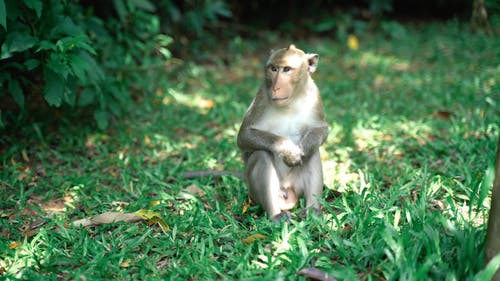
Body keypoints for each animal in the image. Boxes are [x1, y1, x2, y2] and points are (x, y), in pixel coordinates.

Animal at [237, 44, 330, 222]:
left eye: (287, 69)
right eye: (273, 68)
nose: (275, 87)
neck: (292, 101)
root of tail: (287, 190)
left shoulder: (315, 95)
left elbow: (322, 129)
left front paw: (303, 148)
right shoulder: (261, 97)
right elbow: (244, 136)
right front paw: (288, 150)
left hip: (296, 185)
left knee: (313, 153)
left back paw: (312, 211)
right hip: (254, 193)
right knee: (262, 155)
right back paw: (275, 215)